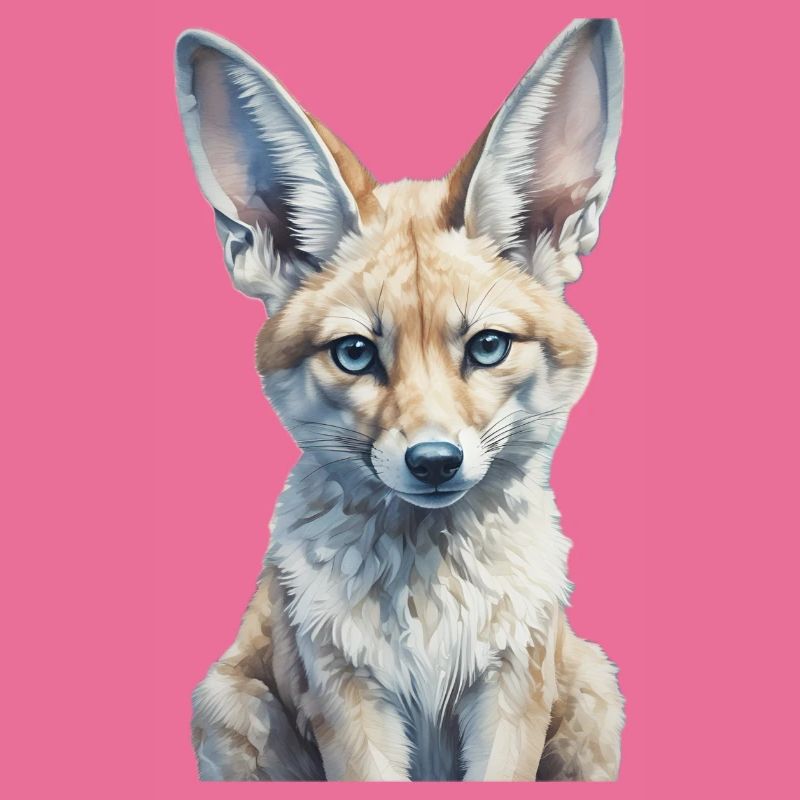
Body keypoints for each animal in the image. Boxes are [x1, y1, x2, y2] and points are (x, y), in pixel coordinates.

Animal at [175, 17, 625, 782]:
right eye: (356, 353)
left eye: (487, 346)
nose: (435, 462)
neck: (430, 606)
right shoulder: (347, 698)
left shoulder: (512, 690)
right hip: (226, 706)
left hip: (595, 694)